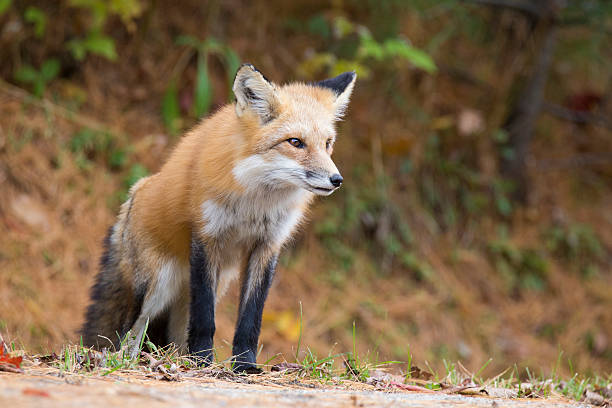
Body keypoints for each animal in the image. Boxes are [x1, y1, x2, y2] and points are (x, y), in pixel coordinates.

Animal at [82, 63, 358, 372]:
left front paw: (244, 365)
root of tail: (133, 195)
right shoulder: (206, 236)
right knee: (130, 333)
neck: (256, 203)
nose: (336, 180)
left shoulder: (267, 246)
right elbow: (205, 319)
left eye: (328, 144)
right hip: (156, 286)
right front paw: (202, 360)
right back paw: (128, 361)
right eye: (295, 142)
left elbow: (250, 319)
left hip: (198, 293)